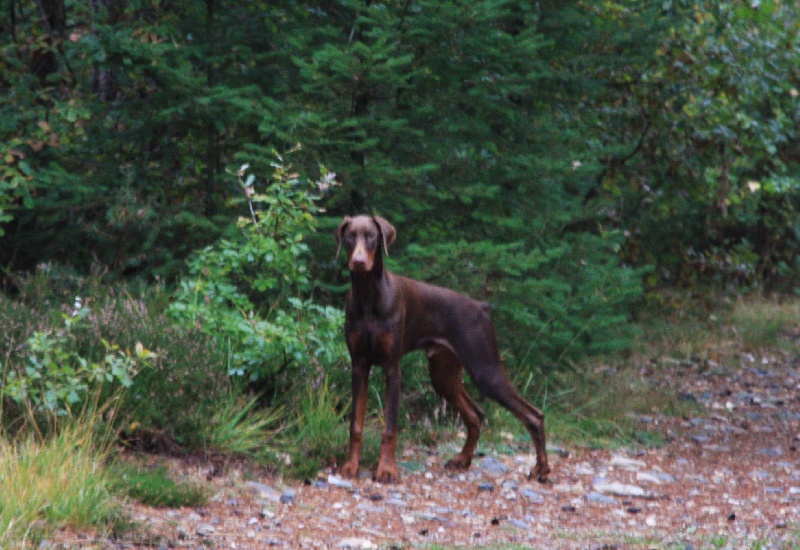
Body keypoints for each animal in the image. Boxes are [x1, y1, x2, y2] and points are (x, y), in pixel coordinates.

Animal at [332, 216, 552, 484]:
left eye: (372, 236)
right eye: (350, 236)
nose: (359, 262)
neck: (368, 297)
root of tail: (481, 307)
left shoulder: (392, 368)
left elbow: (390, 428)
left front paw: (386, 470)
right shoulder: (359, 366)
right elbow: (355, 424)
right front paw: (350, 466)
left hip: (486, 370)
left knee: (533, 415)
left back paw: (541, 468)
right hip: (443, 374)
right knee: (476, 414)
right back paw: (463, 460)